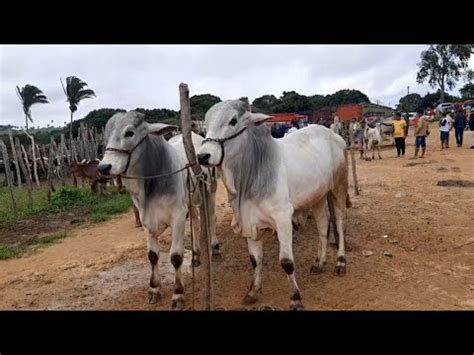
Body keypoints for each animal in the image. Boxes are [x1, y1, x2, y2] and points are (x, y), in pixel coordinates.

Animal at [98, 112, 220, 310]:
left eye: (129, 133)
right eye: (106, 136)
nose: (103, 167)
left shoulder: (178, 217)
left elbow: (176, 257)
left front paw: (178, 294)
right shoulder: (147, 220)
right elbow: (153, 256)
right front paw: (154, 289)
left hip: (210, 191)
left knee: (210, 217)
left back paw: (214, 247)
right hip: (191, 201)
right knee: (195, 220)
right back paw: (195, 255)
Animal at [198, 99, 350, 308]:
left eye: (233, 121)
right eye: (205, 125)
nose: (202, 156)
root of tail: (334, 135)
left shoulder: (283, 218)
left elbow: (286, 262)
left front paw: (295, 298)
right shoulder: (250, 223)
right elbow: (255, 260)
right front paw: (253, 292)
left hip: (338, 187)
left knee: (340, 223)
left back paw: (340, 262)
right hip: (317, 197)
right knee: (323, 225)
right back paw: (319, 262)